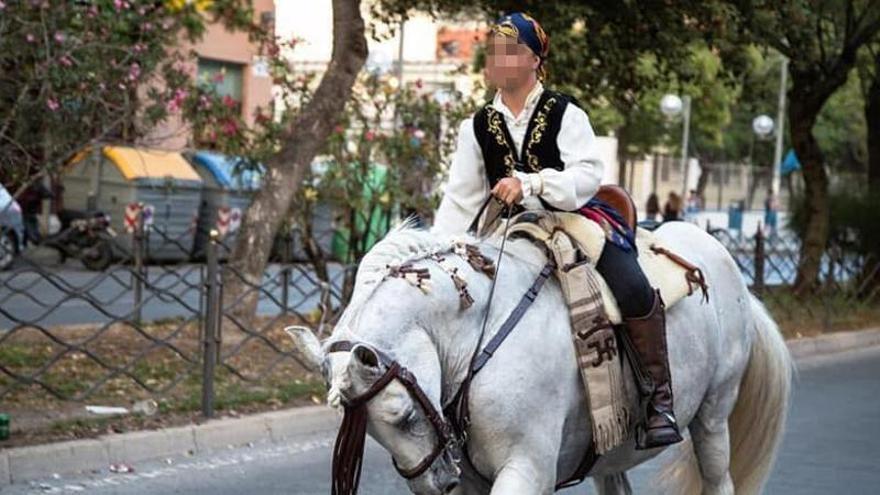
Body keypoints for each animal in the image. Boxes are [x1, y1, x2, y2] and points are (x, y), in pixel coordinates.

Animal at [288, 222, 792, 495]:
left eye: (404, 416)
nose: (436, 484)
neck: (480, 340)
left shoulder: (525, 470)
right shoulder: (476, 480)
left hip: (713, 416)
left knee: (719, 476)